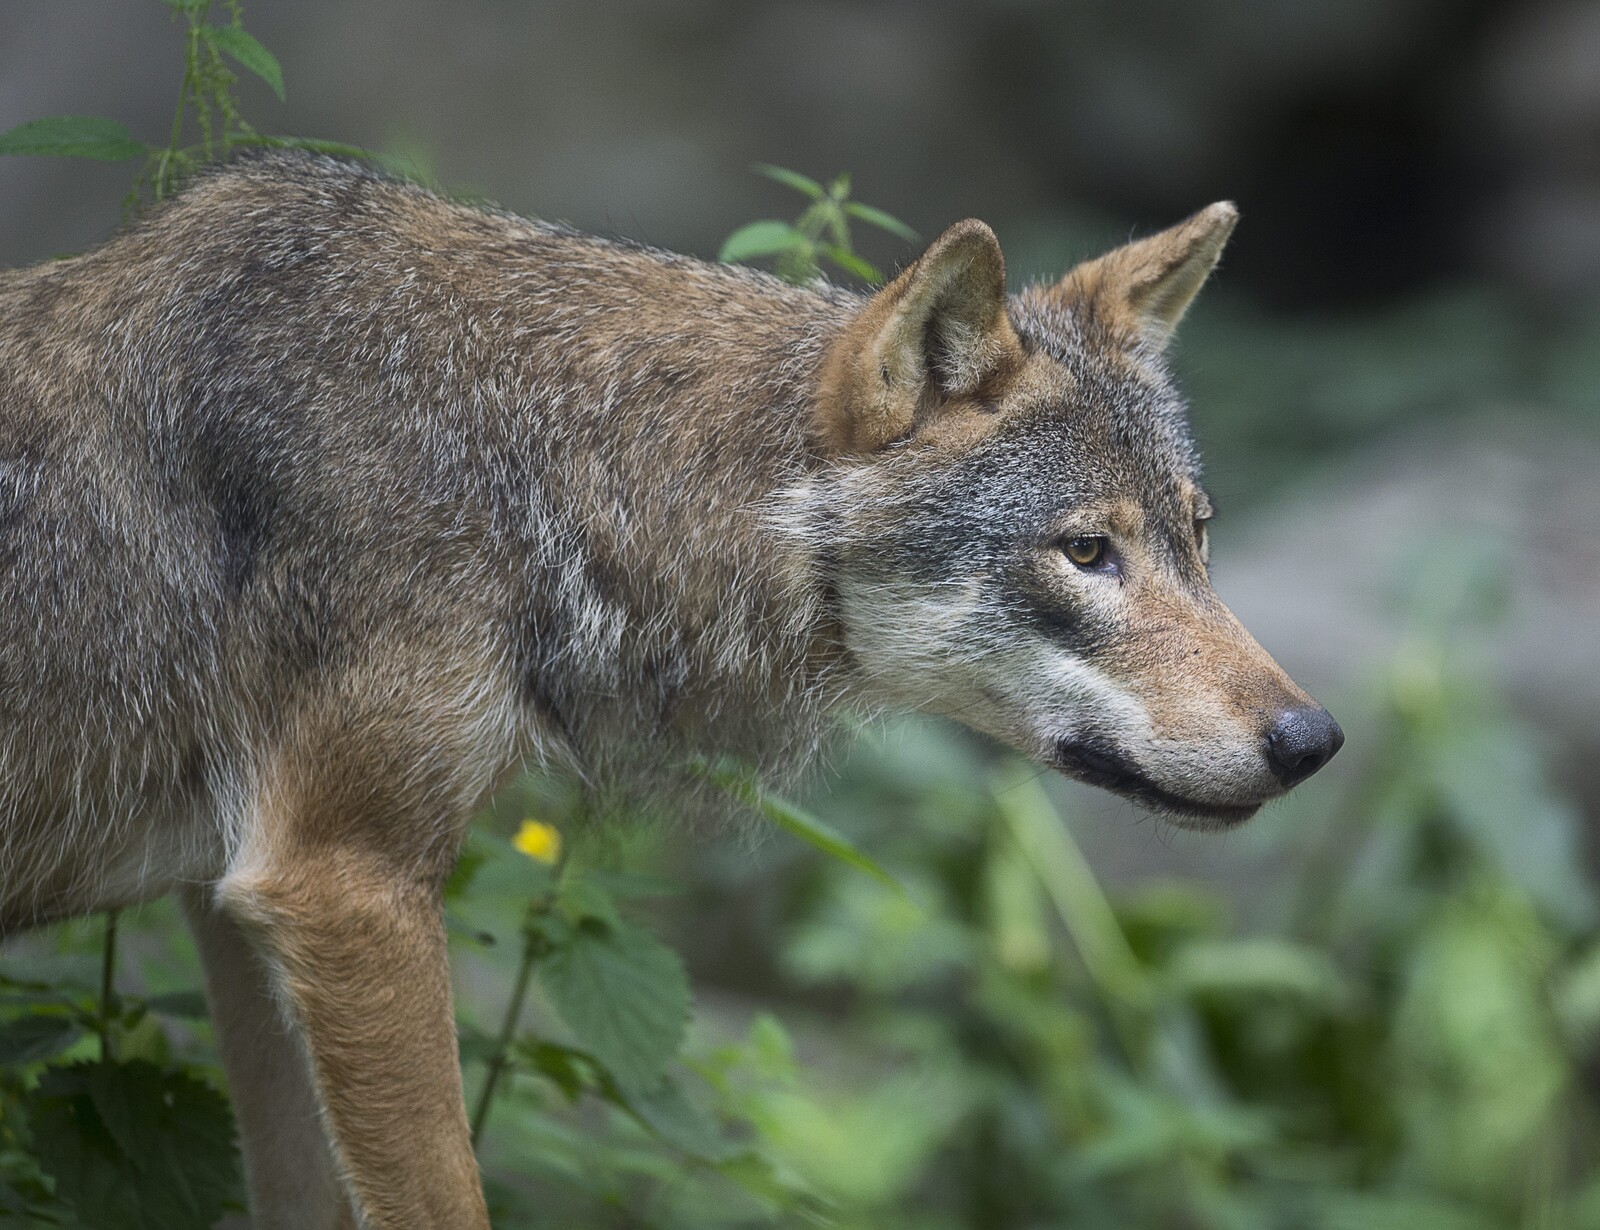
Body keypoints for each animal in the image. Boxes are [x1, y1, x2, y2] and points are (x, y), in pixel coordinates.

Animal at [0, 152, 1341, 1228]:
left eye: (1197, 536)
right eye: (1086, 552)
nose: (1314, 739)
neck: (531, 458)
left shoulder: (237, 903)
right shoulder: (341, 883)